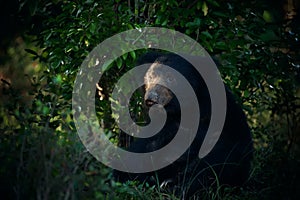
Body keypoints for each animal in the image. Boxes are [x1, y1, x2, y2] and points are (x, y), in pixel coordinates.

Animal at [113, 50, 253, 198]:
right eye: (151, 76)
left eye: (171, 78)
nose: (151, 98)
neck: (182, 109)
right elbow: (143, 148)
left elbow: (217, 155)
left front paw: (176, 185)